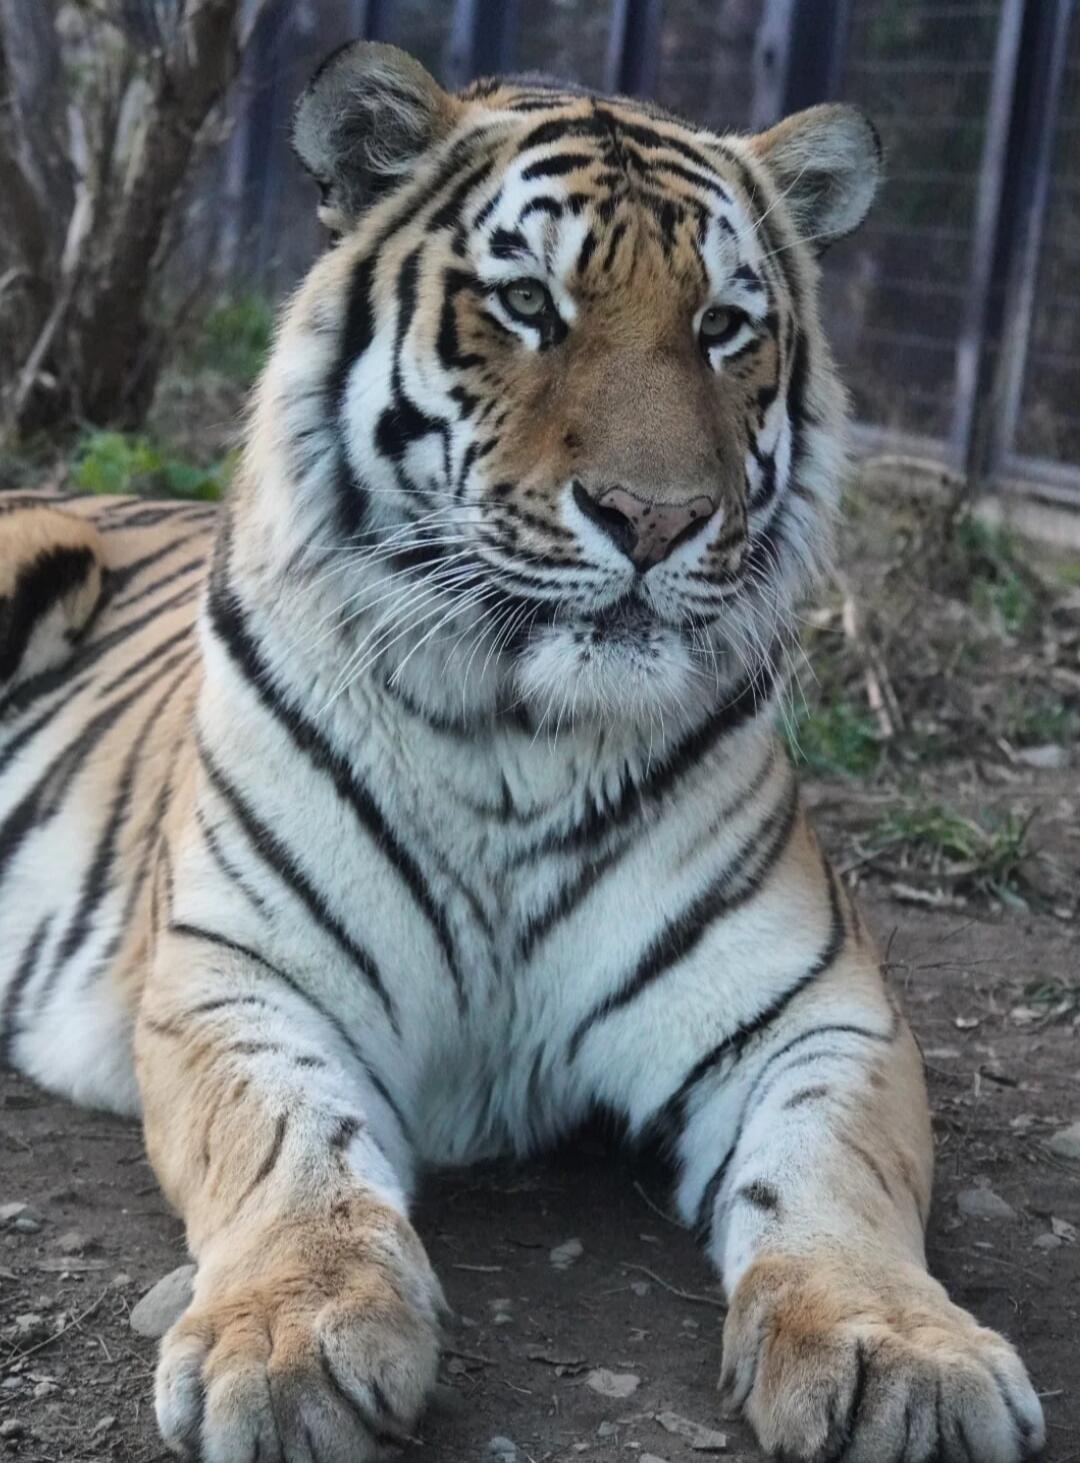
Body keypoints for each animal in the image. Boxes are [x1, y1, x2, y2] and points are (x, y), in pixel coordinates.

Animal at [0, 40, 1044, 1463]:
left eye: (726, 325)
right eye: (528, 303)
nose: (655, 517)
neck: (517, 733)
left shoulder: (814, 1008)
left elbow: (835, 1176)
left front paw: (903, 1350)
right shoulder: (241, 975)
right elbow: (286, 1142)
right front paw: (292, 1336)